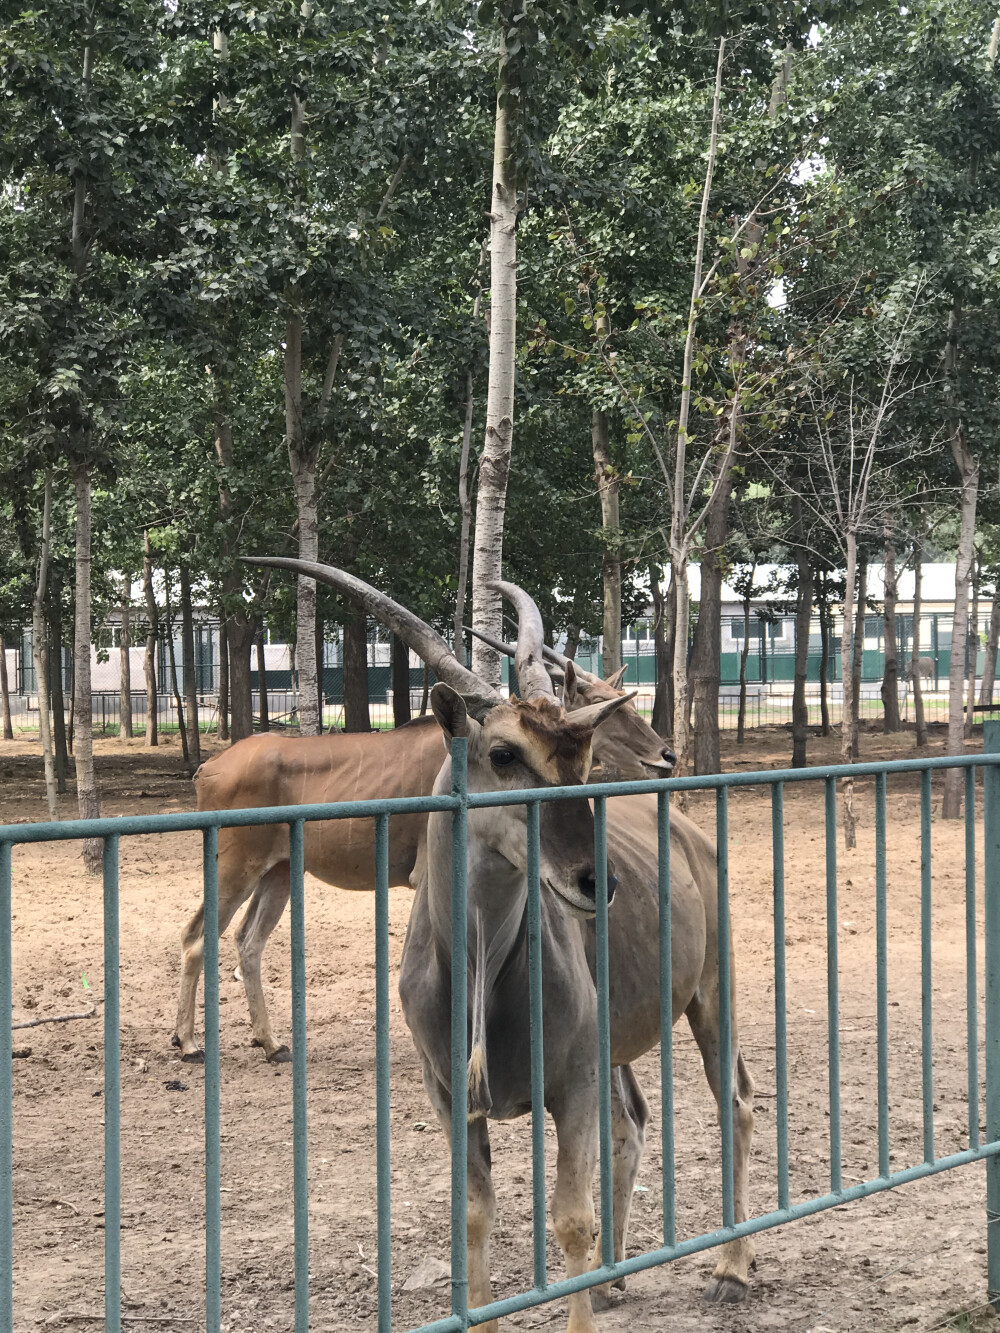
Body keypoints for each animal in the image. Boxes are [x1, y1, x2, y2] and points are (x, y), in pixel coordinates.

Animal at [174, 559, 674, 1061]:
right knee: (197, 937)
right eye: (504, 755)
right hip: (234, 867)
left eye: (584, 754)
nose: (666, 756)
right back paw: (188, 1041)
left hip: (278, 873)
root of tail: (209, 768)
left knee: (248, 942)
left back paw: (271, 1042)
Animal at [262, 562, 757, 1333]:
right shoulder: (450, 1097)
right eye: (502, 754)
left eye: (581, 759)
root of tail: (690, 834)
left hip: (712, 995)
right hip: (615, 1046)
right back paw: (615, 1278)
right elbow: (473, 1216)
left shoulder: (572, 1084)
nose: (597, 882)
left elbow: (571, 1219)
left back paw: (730, 1269)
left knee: (734, 1102)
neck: (478, 971)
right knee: (634, 1123)